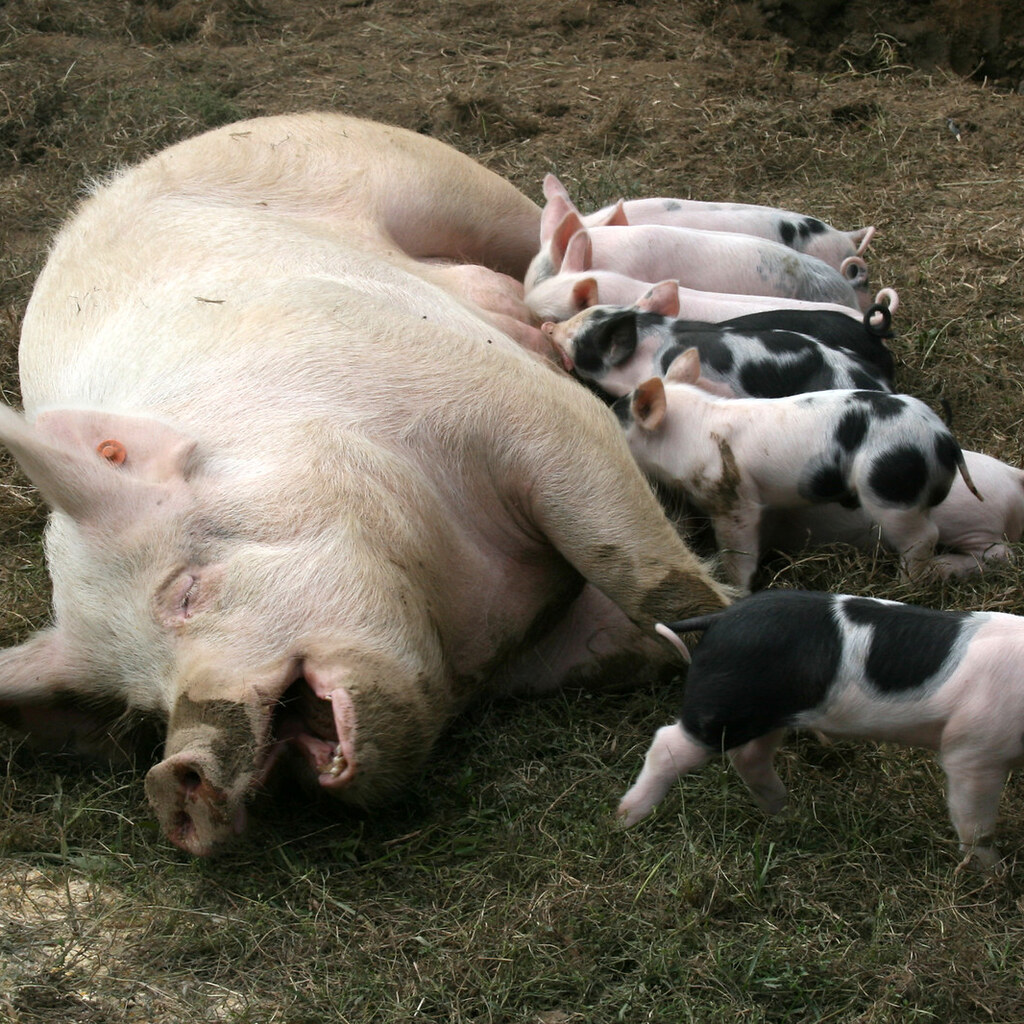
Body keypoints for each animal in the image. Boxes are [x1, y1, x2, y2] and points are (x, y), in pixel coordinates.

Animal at [0, 112, 730, 856]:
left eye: (185, 590)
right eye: (145, 702)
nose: (171, 780)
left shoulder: (517, 405)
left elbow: (638, 568)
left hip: (443, 182)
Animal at [613, 350, 981, 591]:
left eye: (617, 414)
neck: (687, 434)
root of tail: (944, 439)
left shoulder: (734, 499)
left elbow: (737, 550)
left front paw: (737, 587)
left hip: (892, 492)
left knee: (924, 537)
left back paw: (902, 586)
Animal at [616, 588, 1024, 869]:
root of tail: (720, 619)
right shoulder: (974, 749)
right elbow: (975, 820)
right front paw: (993, 874)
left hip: (770, 712)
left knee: (749, 757)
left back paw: (786, 813)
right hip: (724, 705)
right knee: (667, 744)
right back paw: (625, 819)